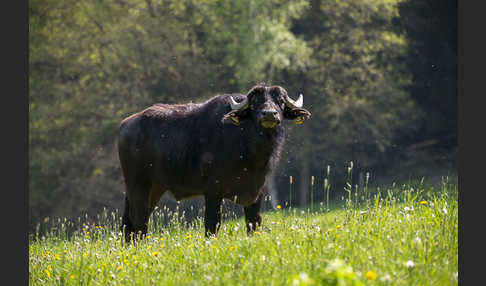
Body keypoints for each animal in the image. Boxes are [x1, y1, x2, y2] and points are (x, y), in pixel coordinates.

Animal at [118, 83, 312, 241]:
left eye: (280, 101)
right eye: (255, 102)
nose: (269, 114)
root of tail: (126, 125)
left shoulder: (258, 190)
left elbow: (254, 221)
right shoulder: (213, 189)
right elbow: (212, 223)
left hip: (154, 187)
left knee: (129, 222)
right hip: (138, 184)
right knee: (139, 221)